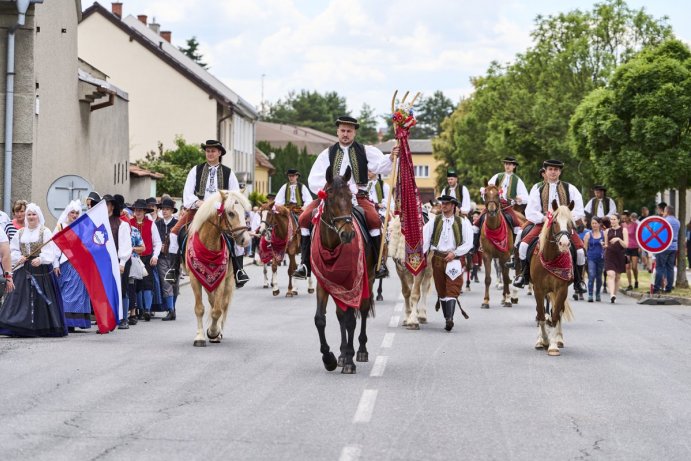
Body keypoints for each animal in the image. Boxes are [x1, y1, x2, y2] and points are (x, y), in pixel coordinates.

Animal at [184, 190, 251, 344]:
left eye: (244, 213)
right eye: (231, 213)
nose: (245, 240)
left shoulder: (221, 278)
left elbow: (217, 310)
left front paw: (213, 332)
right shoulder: (194, 279)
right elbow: (200, 308)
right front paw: (200, 336)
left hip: (229, 279)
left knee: (223, 304)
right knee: (212, 301)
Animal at [314, 165, 378, 374]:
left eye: (350, 196)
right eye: (330, 197)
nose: (348, 234)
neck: (333, 246)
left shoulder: (353, 283)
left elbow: (351, 319)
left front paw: (349, 360)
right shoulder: (324, 283)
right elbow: (321, 319)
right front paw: (330, 358)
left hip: (369, 279)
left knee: (363, 311)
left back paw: (361, 350)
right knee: (341, 315)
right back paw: (342, 354)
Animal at [532, 199, 576, 354]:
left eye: (570, 222)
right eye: (555, 221)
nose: (564, 243)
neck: (551, 258)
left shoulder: (562, 289)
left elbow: (556, 315)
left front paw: (552, 345)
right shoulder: (538, 289)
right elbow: (541, 314)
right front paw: (543, 340)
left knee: (558, 311)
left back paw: (559, 339)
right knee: (542, 312)